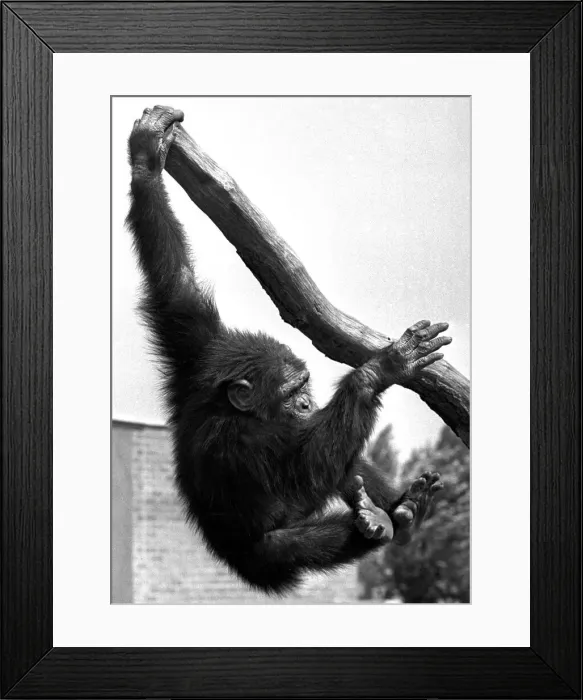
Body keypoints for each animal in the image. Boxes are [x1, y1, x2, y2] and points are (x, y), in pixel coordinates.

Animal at [126, 105, 450, 594]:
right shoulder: (239, 441)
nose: (306, 403)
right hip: (265, 560)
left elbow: (173, 276)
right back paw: (383, 522)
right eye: (291, 391)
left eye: (304, 386)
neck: (233, 405)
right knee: (299, 535)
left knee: (347, 455)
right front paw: (382, 369)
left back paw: (404, 508)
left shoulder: (197, 348)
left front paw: (148, 158)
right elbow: (306, 472)